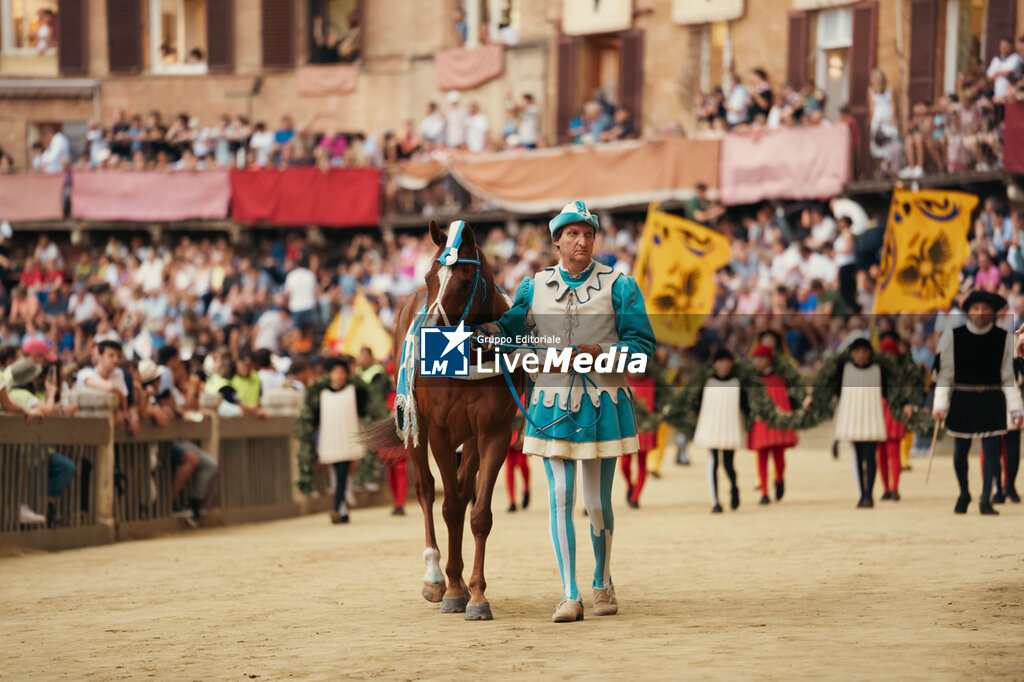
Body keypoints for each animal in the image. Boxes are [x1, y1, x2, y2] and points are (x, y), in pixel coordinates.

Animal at [366, 219, 520, 622]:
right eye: (429, 276)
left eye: (465, 281)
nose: (430, 332)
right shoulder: (436, 430)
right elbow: (447, 505)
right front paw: (451, 588)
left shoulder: (493, 432)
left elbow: (477, 512)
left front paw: (476, 593)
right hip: (414, 429)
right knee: (425, 489)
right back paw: (436, 576)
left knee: (464, 493)